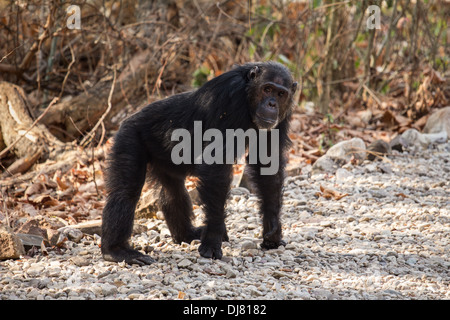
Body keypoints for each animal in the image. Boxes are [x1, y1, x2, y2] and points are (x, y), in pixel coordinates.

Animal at [100, 60, 298, 264]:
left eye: (281, 94)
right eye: (267, 89)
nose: (272, 103)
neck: (248, 94)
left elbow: (267, 162)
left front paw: (272, 229)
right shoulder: (229, 98)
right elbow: (216, 165)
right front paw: (212, 239)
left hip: (163, 159)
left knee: (173, 191)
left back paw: (186, 234)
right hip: (129, 137)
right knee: (126, 191)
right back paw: (117, 250)